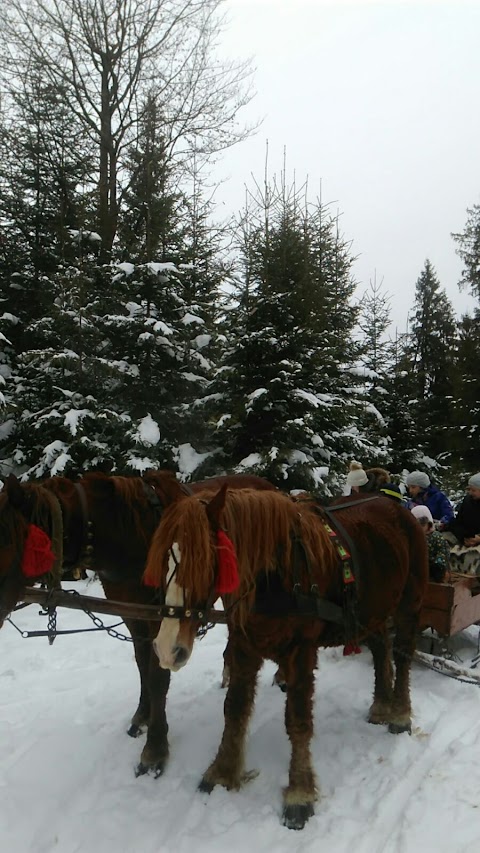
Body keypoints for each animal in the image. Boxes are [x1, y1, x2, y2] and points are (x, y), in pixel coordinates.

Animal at [0, 470, 276, 776]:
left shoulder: (160, 618)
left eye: (6, 540)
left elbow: (158, 678)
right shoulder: (133, 617)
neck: (127, 537)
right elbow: (142, 666)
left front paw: (155, 748)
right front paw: (142, 715)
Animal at [145, 486, 428, 824]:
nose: (166, 649)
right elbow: (234, 710)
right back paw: (381, 705)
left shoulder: (300, 653)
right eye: (162, 560)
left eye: (204, 562)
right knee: (381, 645)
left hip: (409, 601)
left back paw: (399, 713)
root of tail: (394, 504)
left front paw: (299, 793)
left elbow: (298, 720)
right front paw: (223, 772)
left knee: (402, 653)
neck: (274, 577)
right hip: (372, 607)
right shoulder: (243, 646)